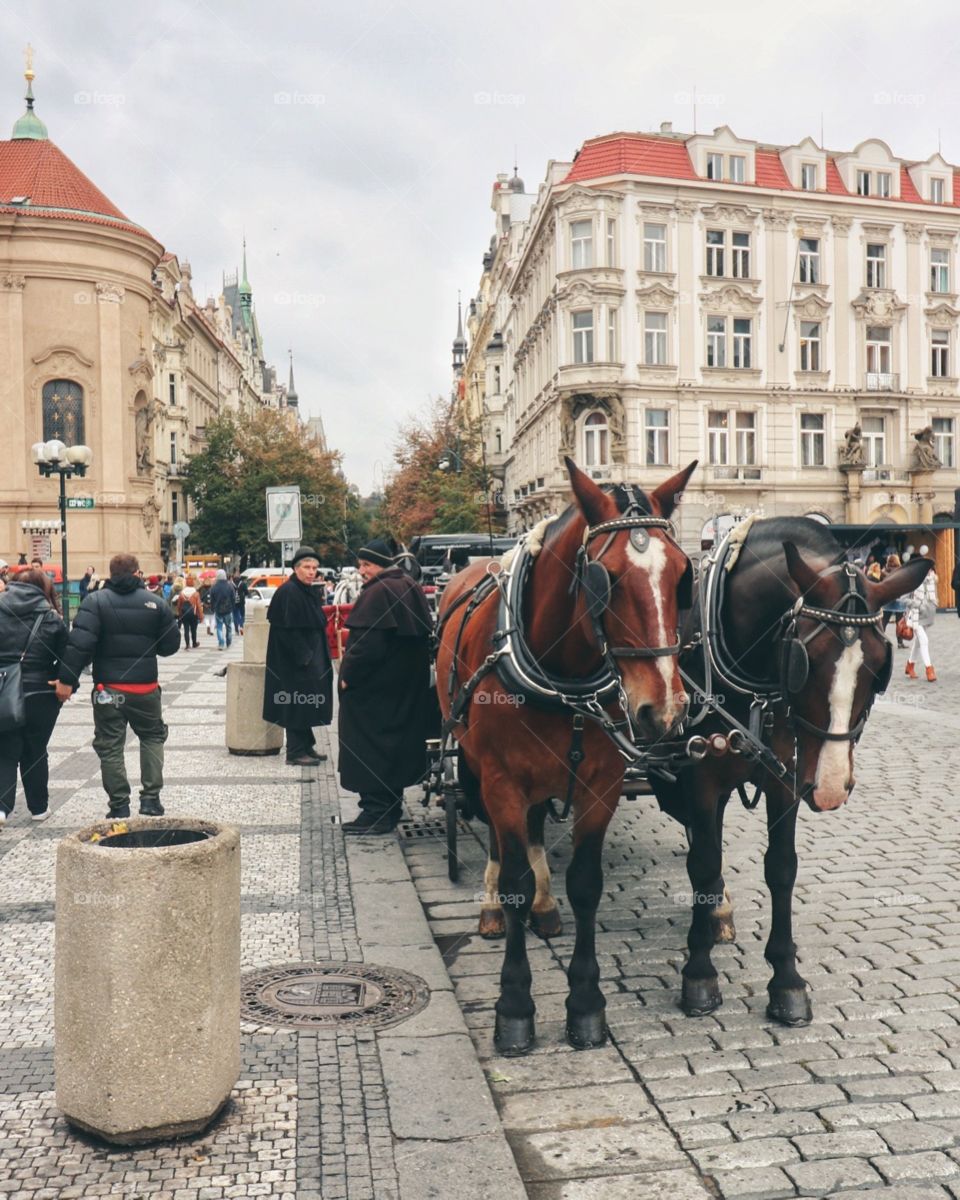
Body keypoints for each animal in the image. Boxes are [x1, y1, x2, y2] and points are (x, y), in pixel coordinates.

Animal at [435, 457, 696, 1055]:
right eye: (607, 581)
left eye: (681, 577)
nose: (665, 710)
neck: (564, 678)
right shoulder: (502, 780)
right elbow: (513, 878)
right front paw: (514, 1007)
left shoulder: (601, 785)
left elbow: (585, 883)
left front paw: (585, 1004)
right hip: (476, 763)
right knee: (496, 838)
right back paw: (492, 907)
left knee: (535, 831)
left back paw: (546, 908)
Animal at [649, 517, 932, 1026]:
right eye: (806, 662)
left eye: (879, 669)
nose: (831, 788)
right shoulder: (699, 775)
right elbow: (703, 862)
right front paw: (698, 973)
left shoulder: (786, 777)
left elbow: (781, 867)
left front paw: (786, 979)